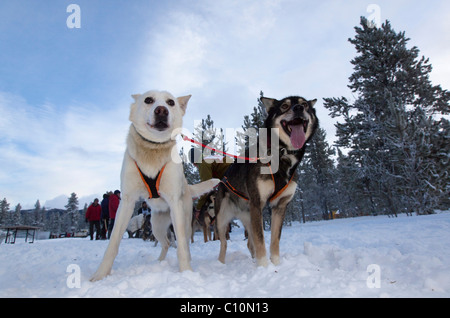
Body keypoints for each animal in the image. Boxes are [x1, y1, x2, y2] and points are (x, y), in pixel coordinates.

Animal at [90, 89, 220, 280]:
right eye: (148, 100)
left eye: (170, 102)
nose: (161, 110)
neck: (153, 149)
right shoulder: (127, 201)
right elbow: (113, 244)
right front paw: (99, 276)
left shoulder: (175, 203)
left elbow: (181, 246)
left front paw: (186, 272)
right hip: (156, 226)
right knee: (165, 243)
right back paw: (159, 262)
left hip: (183, 219)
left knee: (183, 243)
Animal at [214, 95, 316, 268]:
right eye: (284, 106)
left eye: (304, 104)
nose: (299, 108)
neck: (282, 154)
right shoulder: (257, 203)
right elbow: (261, 240)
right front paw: (263, 267)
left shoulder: (280, 206)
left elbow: (275, 239)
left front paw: (275, 264)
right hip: (223, 219)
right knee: (223, 244)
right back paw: (221, 264)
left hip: (249, 218)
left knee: (250, 243)